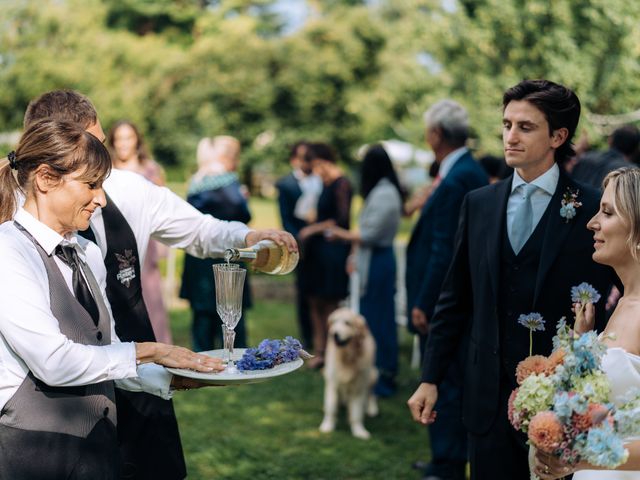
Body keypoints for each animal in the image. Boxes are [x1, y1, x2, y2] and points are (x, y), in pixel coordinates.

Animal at [318, 308, 378, 438]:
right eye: (334, 322)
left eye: (347, 323)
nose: (333, 334)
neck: (347, 357)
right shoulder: (332, 383)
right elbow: (331, 408)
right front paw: (327, 426)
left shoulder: (358, 387)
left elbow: (356, 412)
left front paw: (359, 431)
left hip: (373, 375)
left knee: (371, 394)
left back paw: (372, 409)